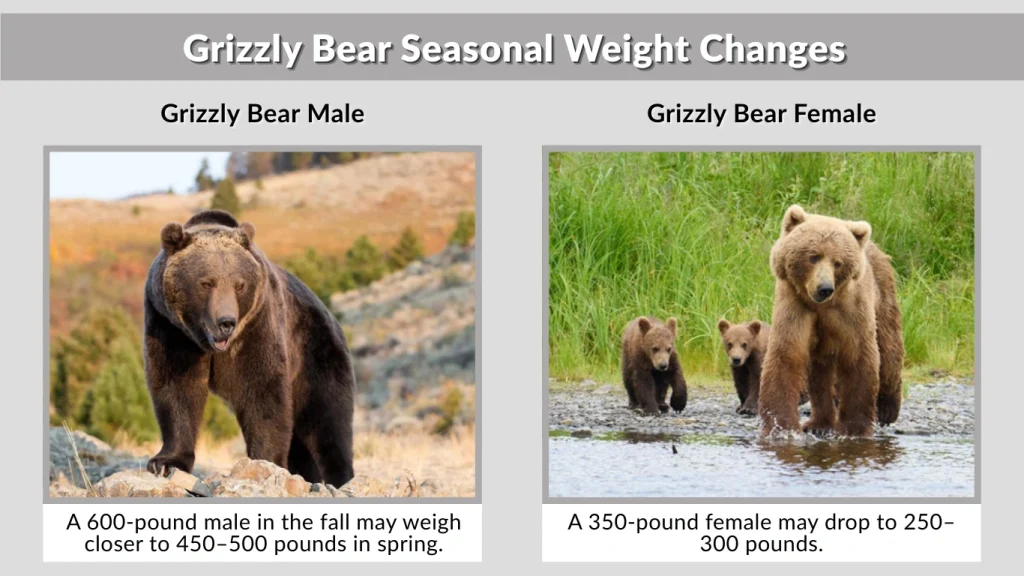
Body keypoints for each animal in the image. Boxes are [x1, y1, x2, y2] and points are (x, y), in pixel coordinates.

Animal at [142, 209, 356, 488]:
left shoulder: (257, 326)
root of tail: (332, 316)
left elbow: (262, 391)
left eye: (239, 284)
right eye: (206, 283)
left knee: (328, 421)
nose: (226, 322)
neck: (207, 345)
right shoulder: (170, 329)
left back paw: (340, 478)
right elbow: (176, 387)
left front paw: (265, 462)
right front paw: (165, 462)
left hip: (316, 354)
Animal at [759, 205, 904, 438]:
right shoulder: (796, 306)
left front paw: (854, 429)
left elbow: (859, 356)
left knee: (889, 349)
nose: (825, 288)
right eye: (813, 256)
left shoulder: (851, 311)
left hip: (883, 296)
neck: (822, 306)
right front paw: (781, 427)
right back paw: (818, 423)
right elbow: (786, 354)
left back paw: (887, 409)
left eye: (838, 262)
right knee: (820, 375)